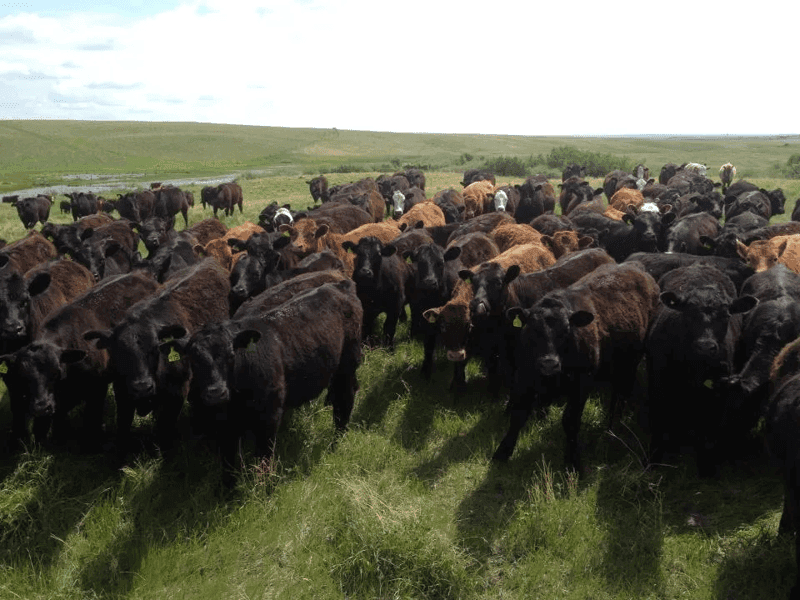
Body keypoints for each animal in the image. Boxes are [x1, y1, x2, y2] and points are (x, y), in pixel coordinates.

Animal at [494, 262, 660, 471]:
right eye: (532, 329)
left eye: (566, 330)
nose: (549, 363)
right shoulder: (525, 377)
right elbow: (518, 414)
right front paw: (502, 452)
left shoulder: (581, 384)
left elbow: (570, 421)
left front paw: (572, 461)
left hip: (631, 363)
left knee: (621, 393)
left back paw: (613, 428)